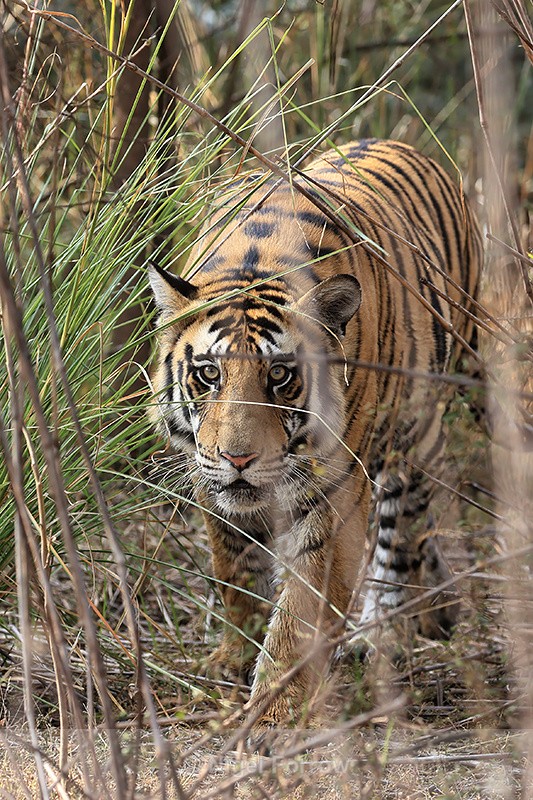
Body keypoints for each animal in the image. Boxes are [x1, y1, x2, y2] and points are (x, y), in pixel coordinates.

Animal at [148, 138, 482, 727]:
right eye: (208, 374)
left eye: (280, 376)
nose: (238, 459)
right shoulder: (211, 483)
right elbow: (235, 570)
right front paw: (234, 659)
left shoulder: (333, 495)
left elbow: (301, 612)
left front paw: (273, 714)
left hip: (420, 422)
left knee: (399, 538)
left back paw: (381, 636)